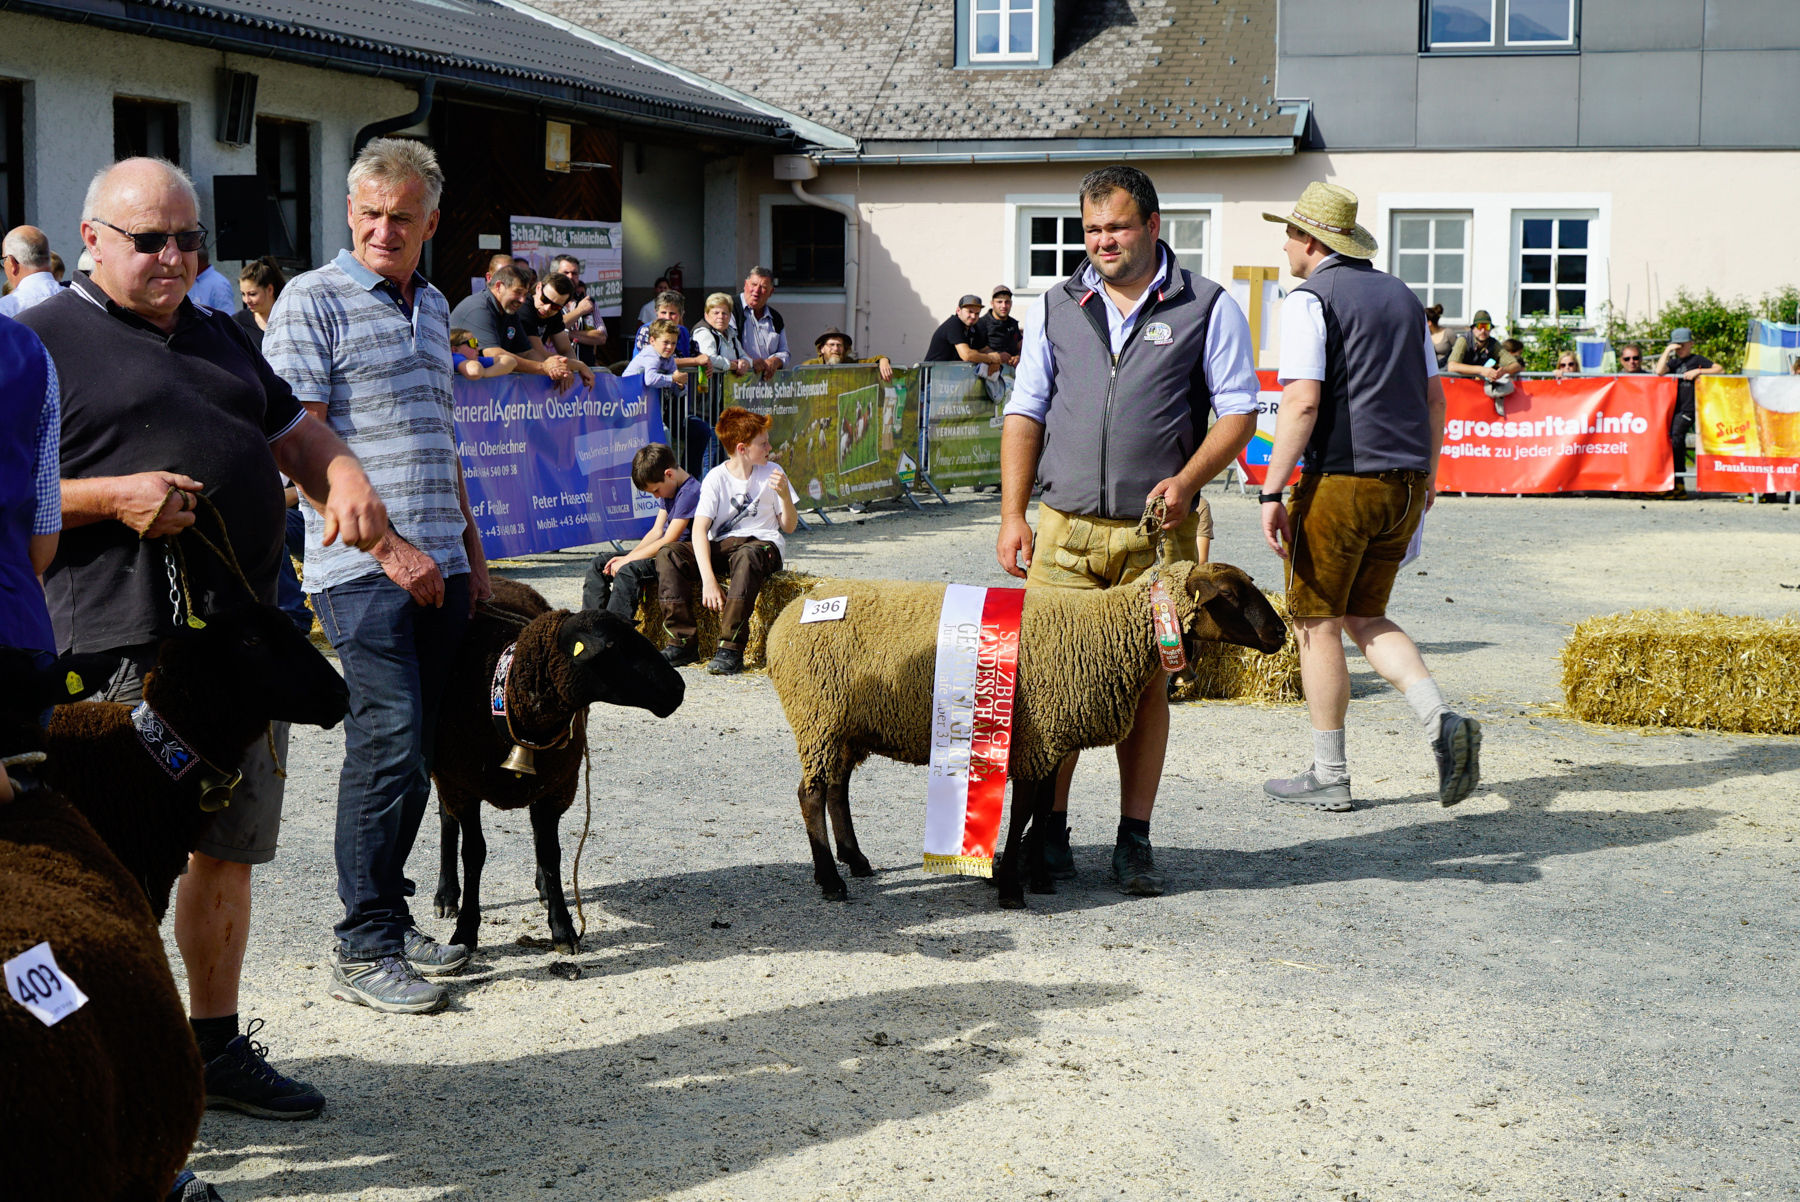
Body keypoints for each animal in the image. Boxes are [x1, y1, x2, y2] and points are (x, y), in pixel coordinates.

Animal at [432, 575, 684, 950]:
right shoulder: (462, 784)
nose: (679, 688)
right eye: (613, 647)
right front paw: (465, 931)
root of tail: (500, 578)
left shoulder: (557, 786)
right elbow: (473, 853)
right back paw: (446, 895)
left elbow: (551, 852)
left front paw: (563, 927)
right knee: (447, 822)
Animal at [766, 557, 1288, 906]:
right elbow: (1020, 815)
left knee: (836, 788)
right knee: (811, 793)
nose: (1281, 634)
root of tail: (789, 612)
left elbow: (1043, 811)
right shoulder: (1031, 742)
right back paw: (830, 881)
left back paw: (855, 861)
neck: (1104, 631)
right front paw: (1012, 889)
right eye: (1231, 596)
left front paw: (1038, 876)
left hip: (842, 725)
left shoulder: (1050, 743)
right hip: (818, 716)